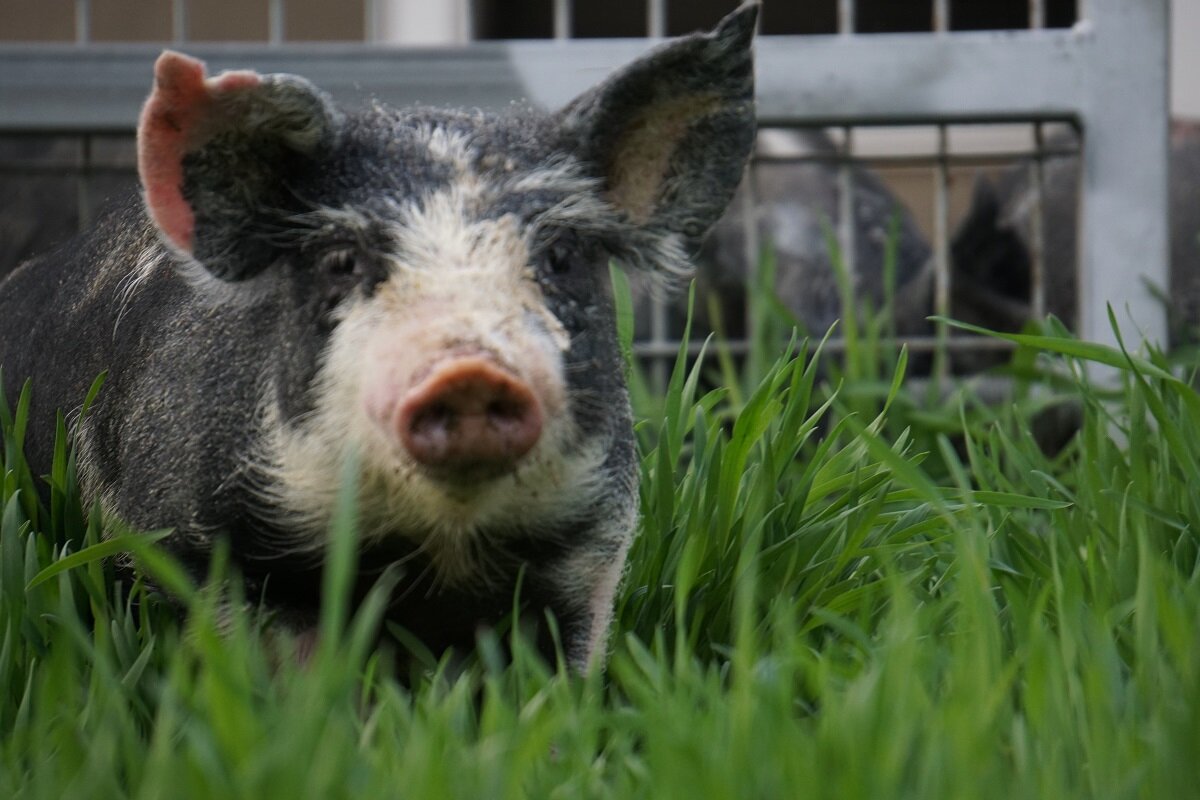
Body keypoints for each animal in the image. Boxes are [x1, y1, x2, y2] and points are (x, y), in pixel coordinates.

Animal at [0, 6, 759, 670]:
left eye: (562, 254)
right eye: (342, 260)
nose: (469, 371)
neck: (437, 546)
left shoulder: (592, 544)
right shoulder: (194, 533)